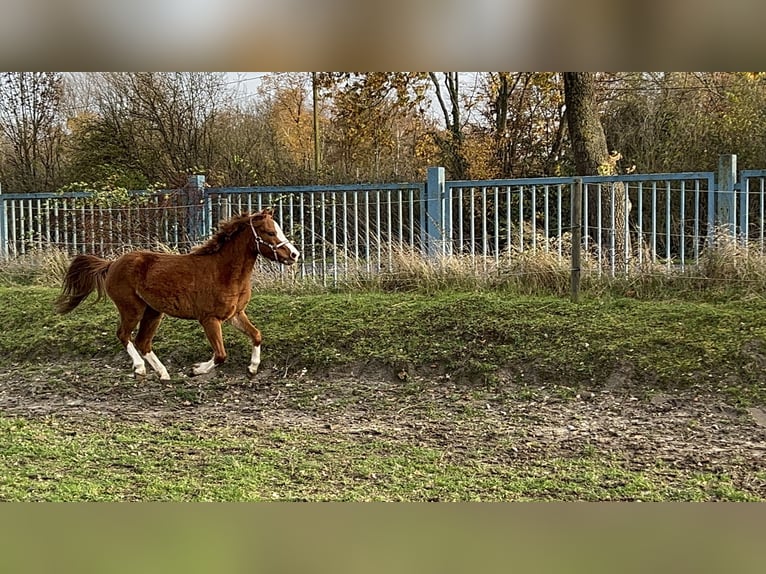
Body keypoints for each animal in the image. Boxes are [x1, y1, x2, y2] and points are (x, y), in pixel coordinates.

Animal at [54, 209, 298, 380]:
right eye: (270, 232)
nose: (294, 254)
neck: (224, 272)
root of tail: (112, 264)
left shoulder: (235, 315)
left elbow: (256, 335)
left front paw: (252, 368)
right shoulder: (209, 319)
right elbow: (221, 355)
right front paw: (195, 370)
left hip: (153, 312)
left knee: (143, 342)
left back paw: (163, 374)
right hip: (132, 308)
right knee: (124, 335)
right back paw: (140, 369)